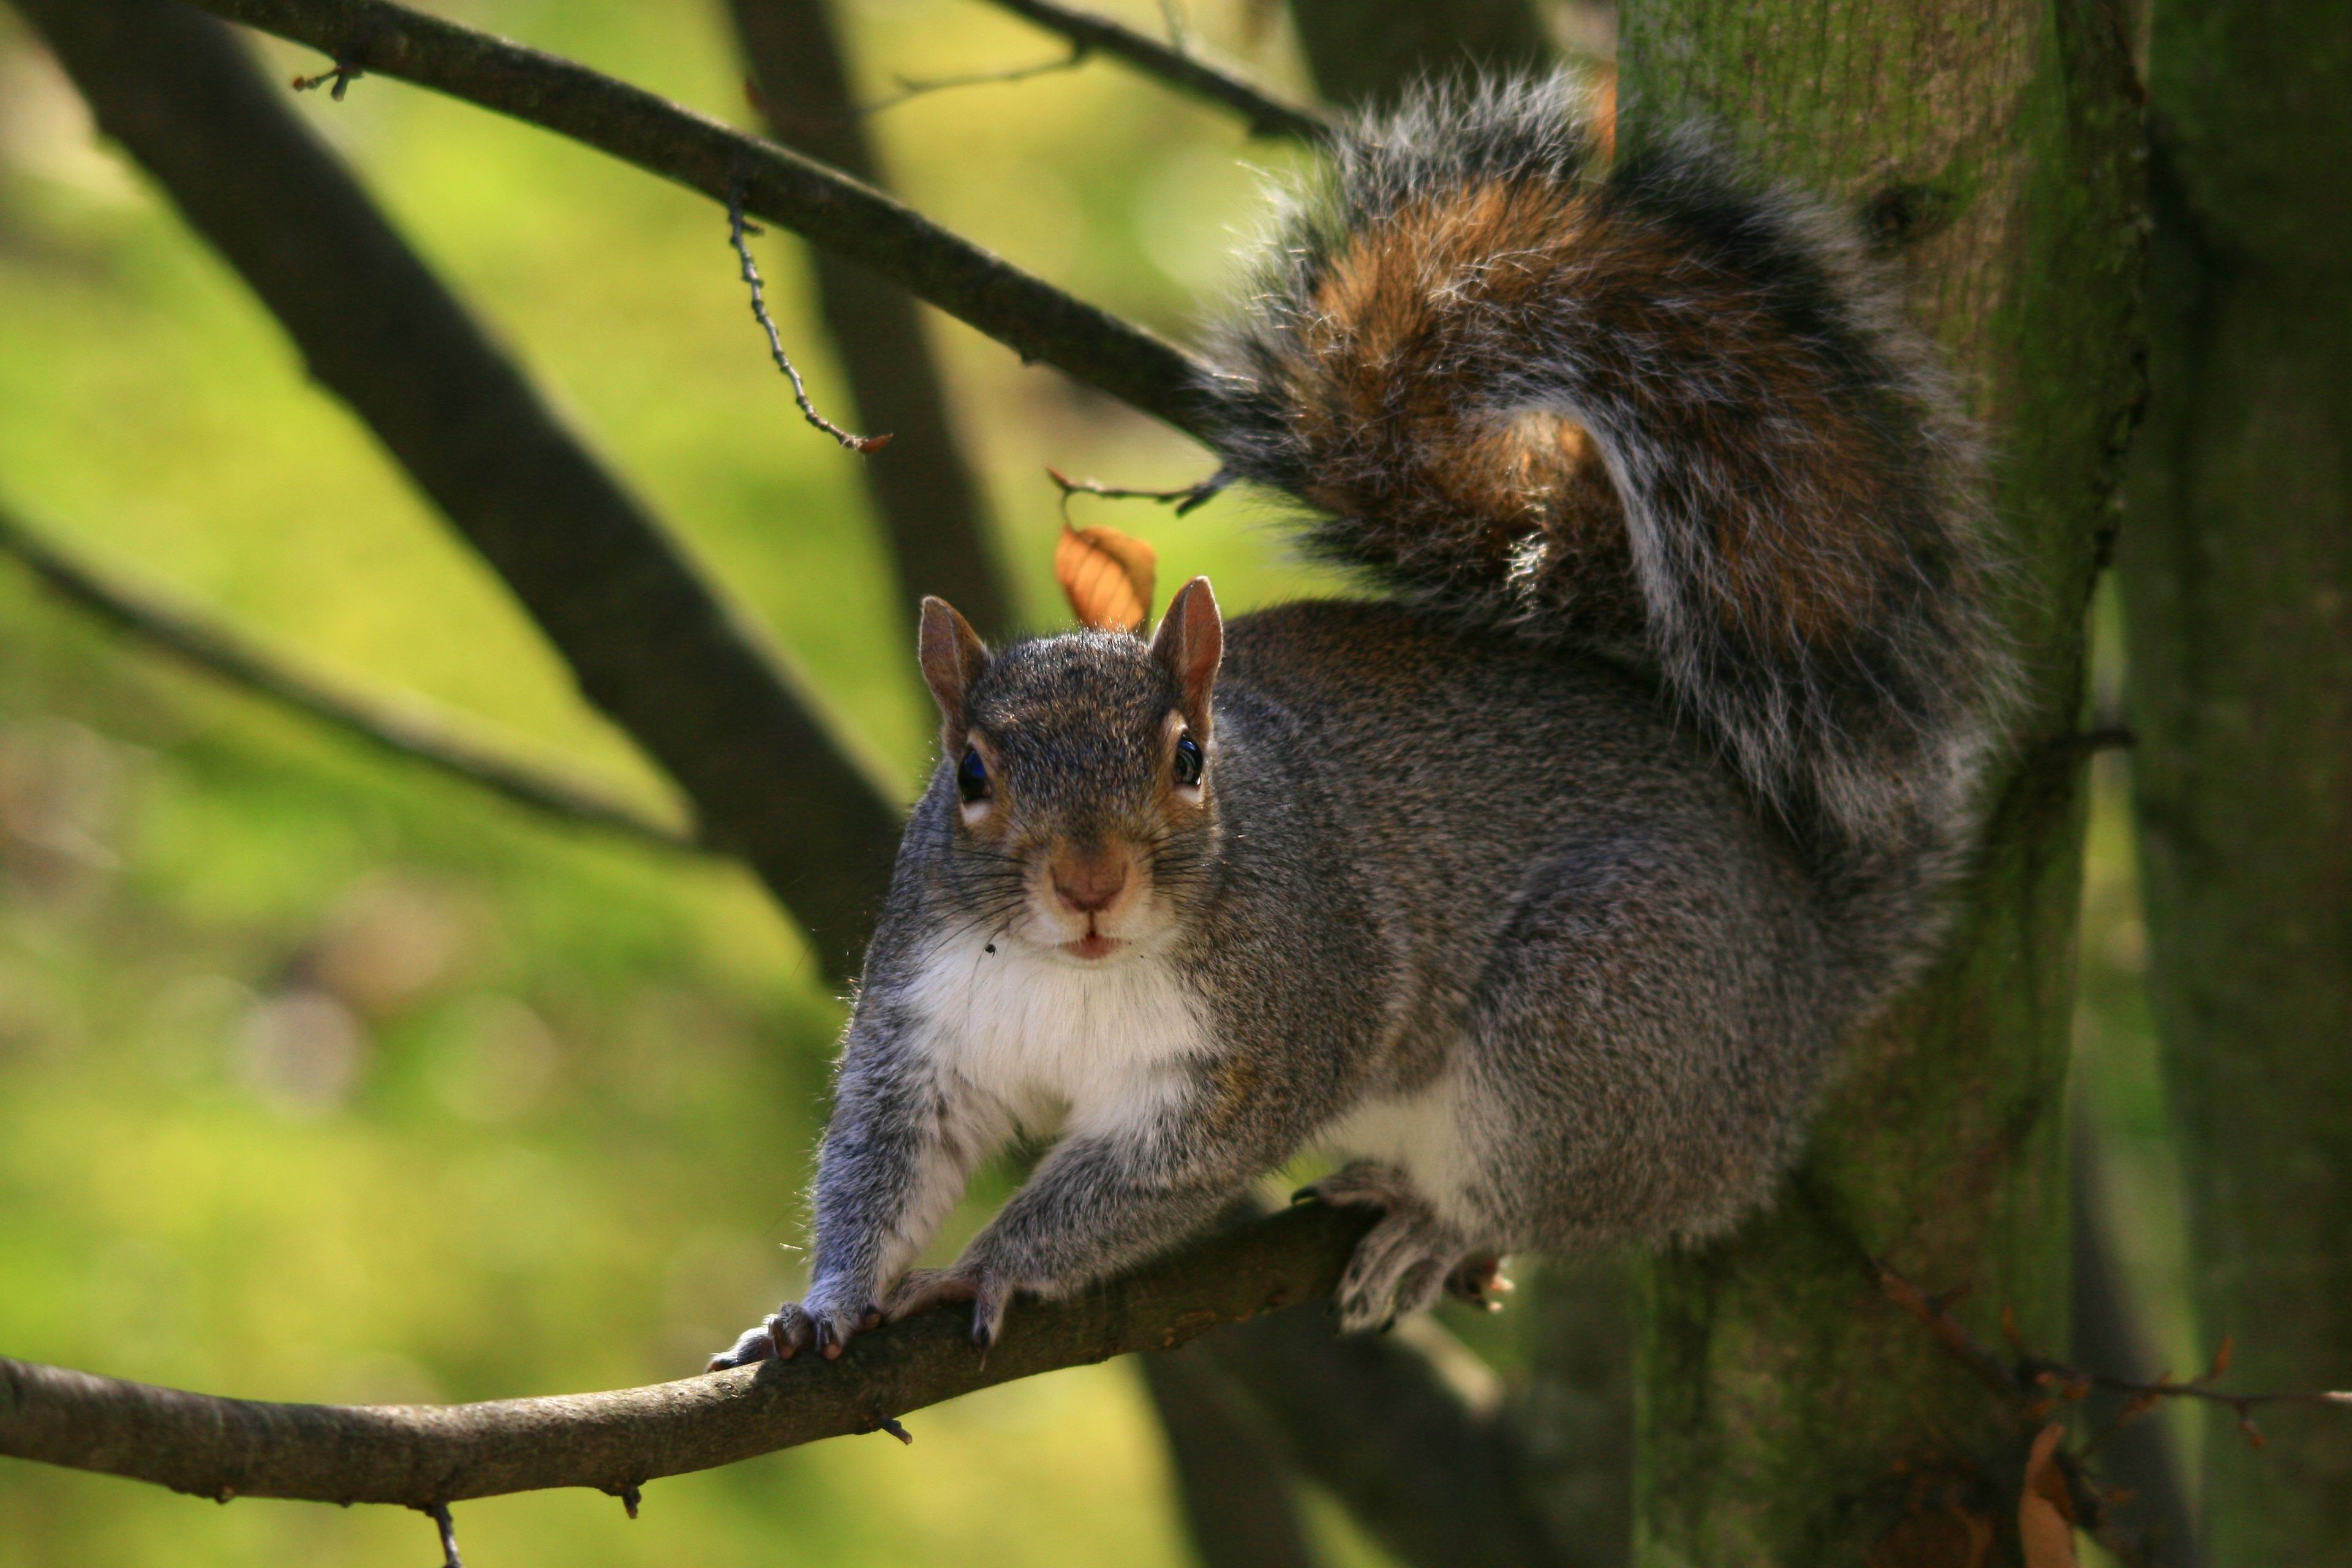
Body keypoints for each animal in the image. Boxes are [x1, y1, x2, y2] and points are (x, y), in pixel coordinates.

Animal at [701, 80, 2003, 1363]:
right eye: (969, 775)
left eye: (1189, 760)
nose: (1088, 884)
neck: (1072, 974)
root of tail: (1815, 959)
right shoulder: (926, 1026)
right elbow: (879, 1162)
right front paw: (821, 1305)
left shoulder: (1265, 1047)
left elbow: (1130, 1191)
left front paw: (989, 1266)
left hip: (1597, 1035)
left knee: (1551, 1194)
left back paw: (1430, 1226)